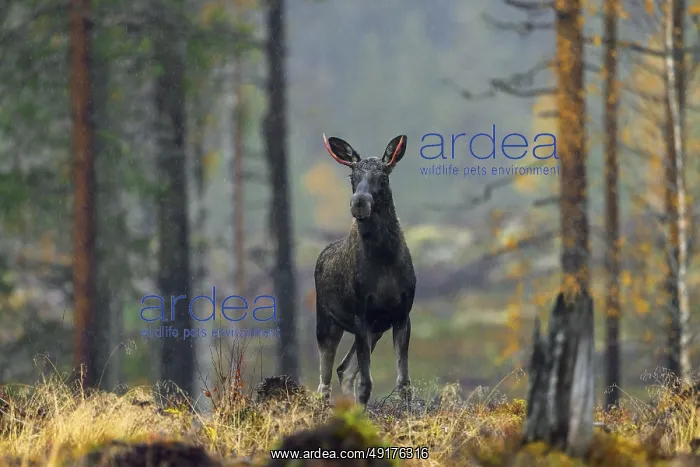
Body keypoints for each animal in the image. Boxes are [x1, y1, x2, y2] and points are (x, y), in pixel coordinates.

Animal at [314, 133, 416, 407]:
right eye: (352, 176)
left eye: (384, 177)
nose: (359, 202)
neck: (385, 262)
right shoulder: (361, 314)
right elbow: (367, 383)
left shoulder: (402, 314)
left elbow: (404, 382)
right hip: (326, 320)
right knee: (324, 380)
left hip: (376, 329)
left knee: (344, 369)